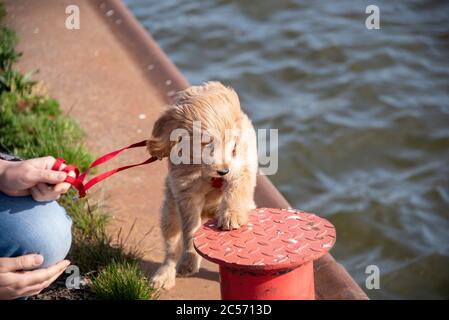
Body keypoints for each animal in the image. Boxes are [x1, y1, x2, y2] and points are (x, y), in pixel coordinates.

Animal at [148, 81, 256, 288]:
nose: (224, 171)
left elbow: (236, 189)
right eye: (207, 143)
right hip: (169, 214)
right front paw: (189, 260)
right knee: (171, 249)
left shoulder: (241, 166)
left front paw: (232, 215)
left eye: (233, 145)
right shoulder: (186, 193)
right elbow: (190, 229)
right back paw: (165, 274)